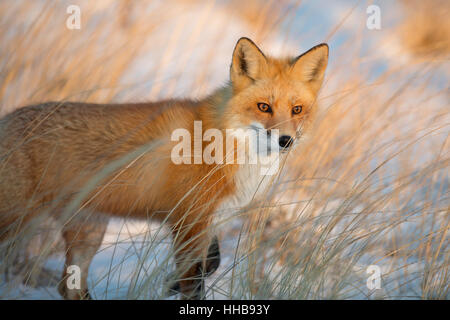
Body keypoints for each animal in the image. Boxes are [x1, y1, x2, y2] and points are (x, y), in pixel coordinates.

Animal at [1, 38, 328, 300]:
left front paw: (168, 284)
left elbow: (212, 263)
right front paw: (175, 286)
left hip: (88, 232)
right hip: (18, 225)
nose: (285, 140)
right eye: (263, 107)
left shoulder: (207, 220)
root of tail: (7, 119)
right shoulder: (188, 221)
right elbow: (194, 282)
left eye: (297, 110)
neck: (221, 144)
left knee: (69, 288)